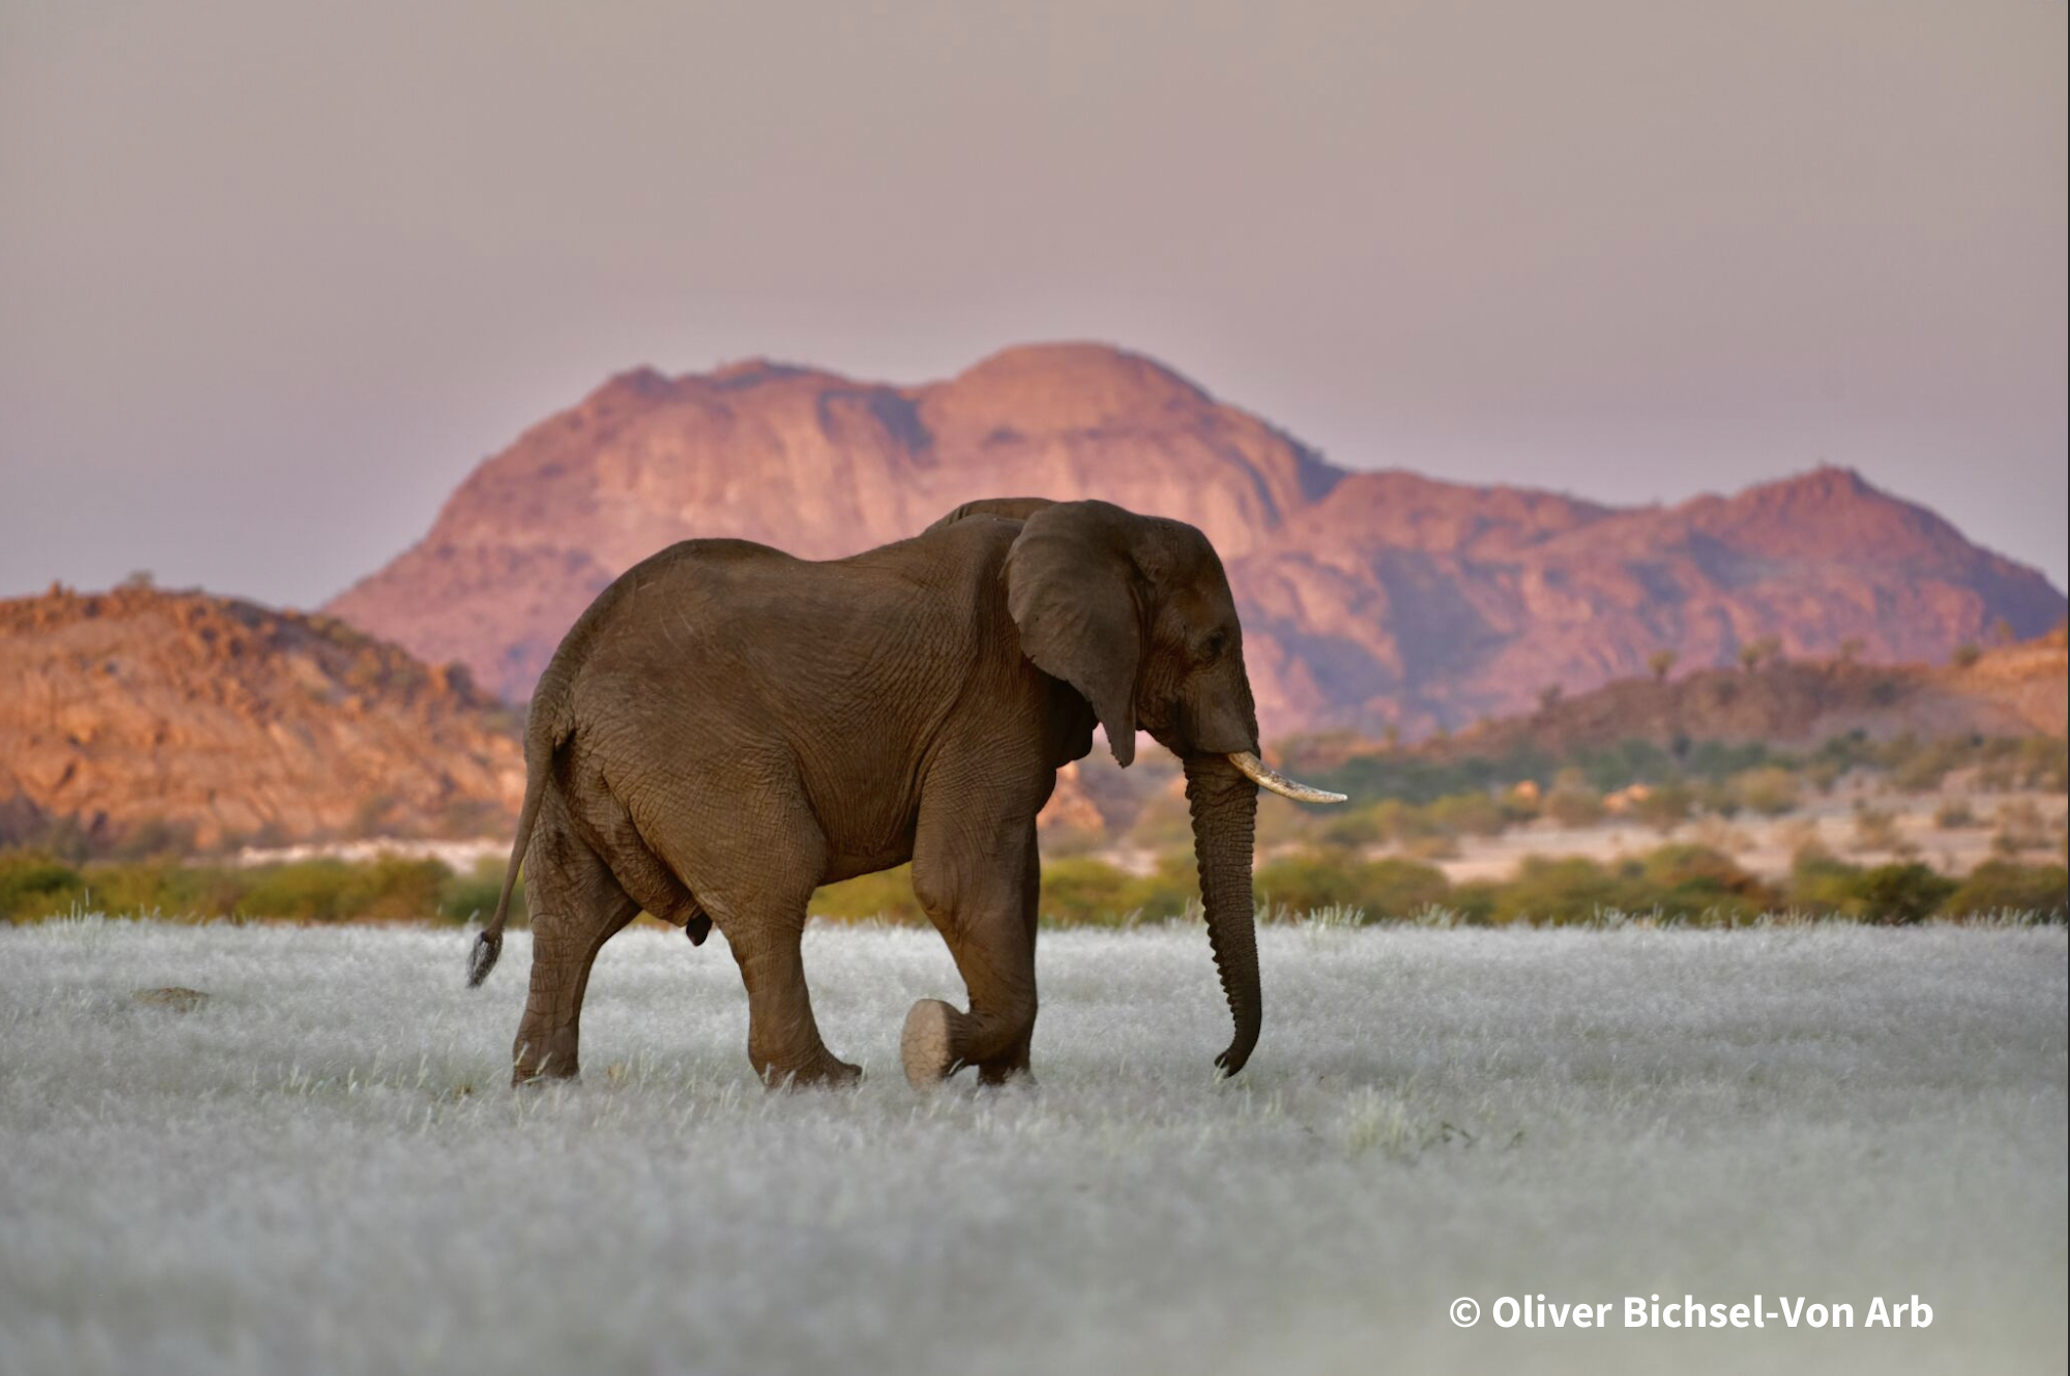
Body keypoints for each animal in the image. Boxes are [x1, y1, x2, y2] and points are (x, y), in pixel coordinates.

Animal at [465, 494, 1341, 1084]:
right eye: (1215, 642)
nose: (1220, 1061)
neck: (1093, 520)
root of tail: (566, 668)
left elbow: (1016, 885)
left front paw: (1011, 1088)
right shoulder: (995, 693)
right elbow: (960, 880)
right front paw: (933, 1045)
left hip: (590, 769)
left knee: (573, 911)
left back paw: (547, 1088)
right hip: (692, 749)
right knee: (772, 882)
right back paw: (825, 1082)